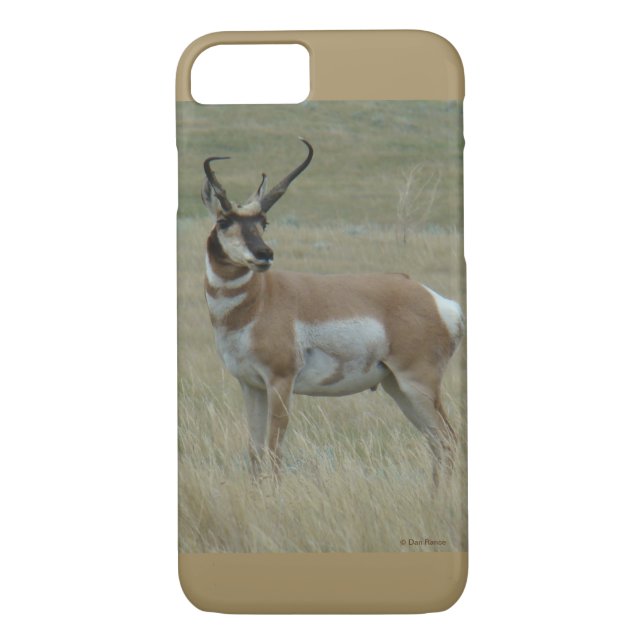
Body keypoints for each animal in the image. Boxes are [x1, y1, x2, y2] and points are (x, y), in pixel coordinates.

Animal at [202, 138, 464, 480]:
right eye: (224, 221)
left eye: (263, 222)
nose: (264, 254)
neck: (259, 301)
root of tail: (438, 301)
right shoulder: (251, 386)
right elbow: (255, 454)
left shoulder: (280, 382)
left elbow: (273, 453)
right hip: (398, 387)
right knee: (437, 443)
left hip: (417, 384)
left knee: (448, 440)